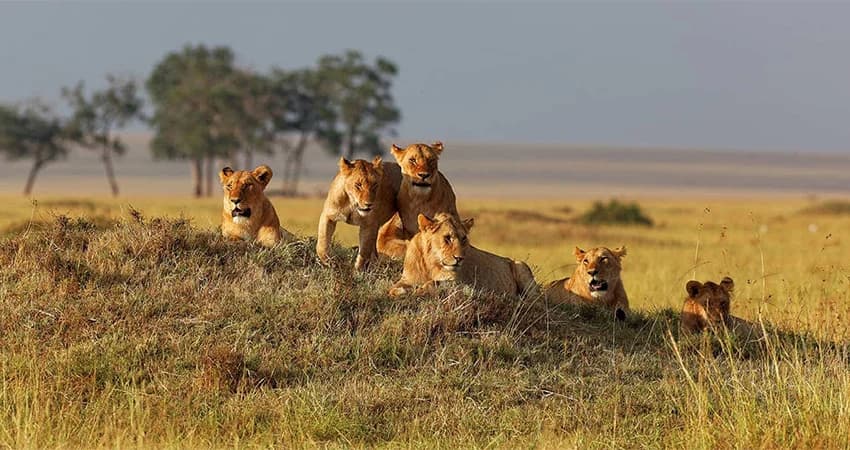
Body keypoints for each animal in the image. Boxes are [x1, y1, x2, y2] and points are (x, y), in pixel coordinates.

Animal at [388, 213, 538, 299]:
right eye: (447, 238)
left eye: (464, 238)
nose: (459, 258)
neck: (431, 264)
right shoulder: (407, 279)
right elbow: (394, 288)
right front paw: (399, 291)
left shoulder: (459, 283)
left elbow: (434, 282)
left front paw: (420, 290)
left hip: (521, 265)